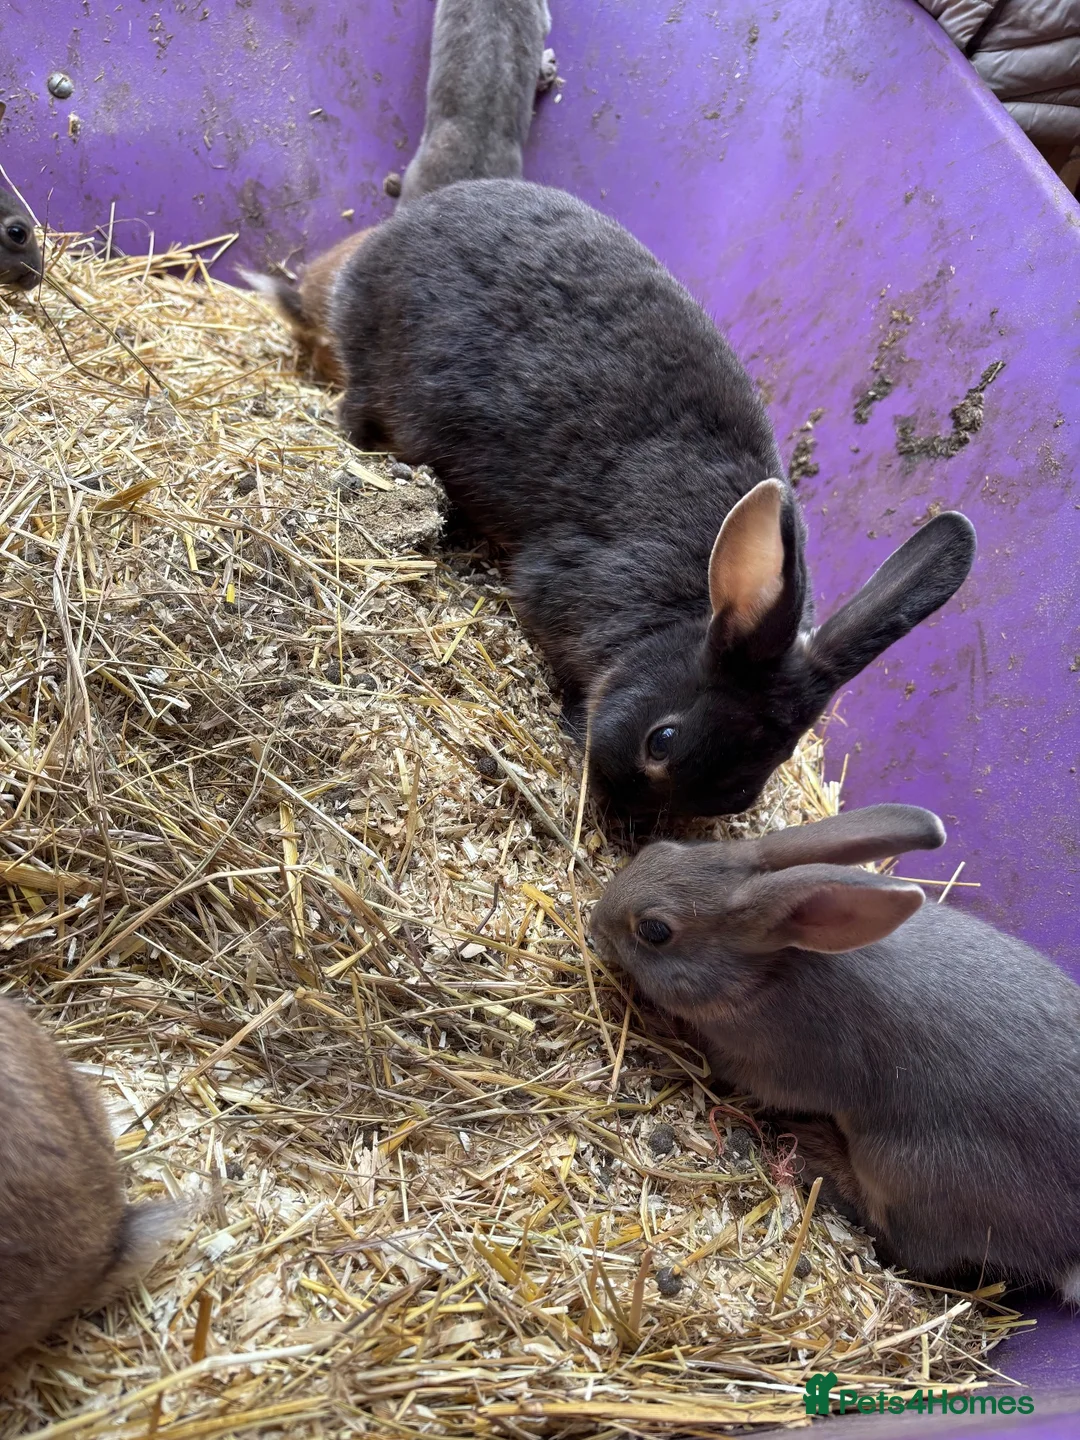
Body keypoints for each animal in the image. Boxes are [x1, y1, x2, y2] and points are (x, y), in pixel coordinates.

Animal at [331, 179, 976, 829]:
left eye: (741, 794)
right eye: (661, 741)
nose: (624, 810)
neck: (688, 615)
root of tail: (409, 222)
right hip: (384, 381)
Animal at [590, 804, 1080, 1297]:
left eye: (654, 930)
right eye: (660, 849)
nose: (595, 923)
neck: (769, 968)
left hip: (900, 1166)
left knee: (900, 1242)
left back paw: (816, 1152)